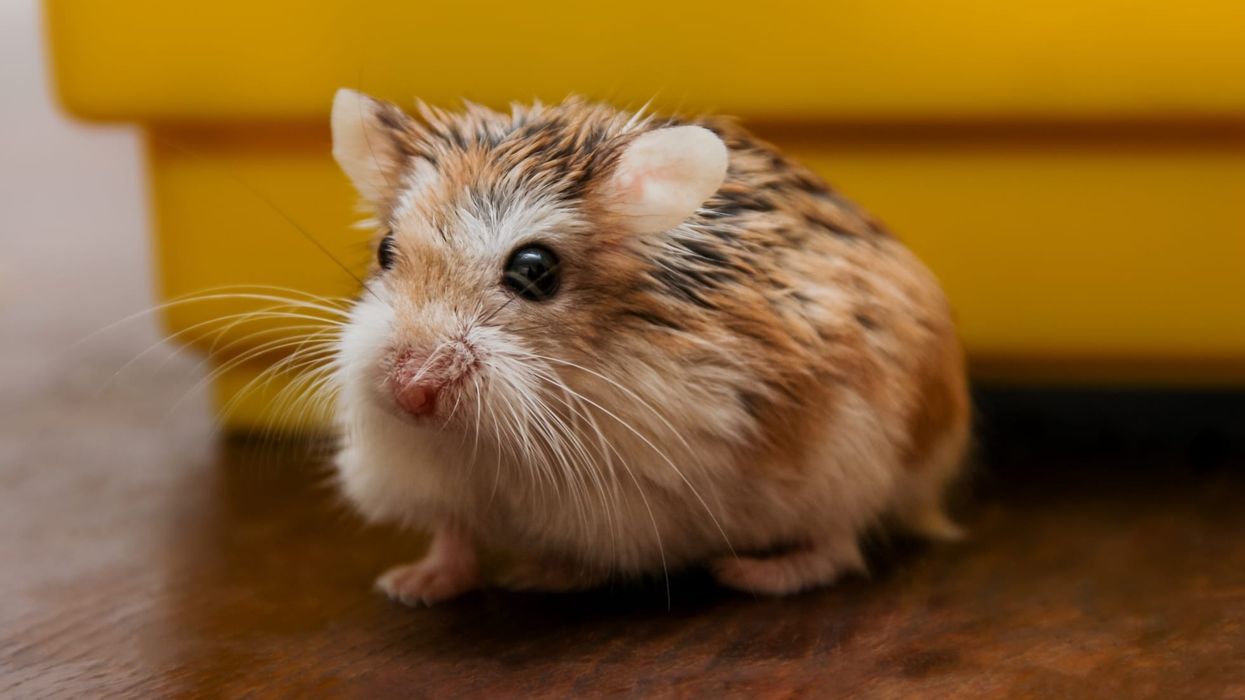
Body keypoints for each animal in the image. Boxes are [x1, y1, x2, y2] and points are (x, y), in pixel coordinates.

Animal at [328, 88, 970, 605]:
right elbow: (452, 534)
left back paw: (747, 573)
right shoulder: (437, 479)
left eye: (534, 270)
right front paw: (408, 586)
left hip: (854, 462)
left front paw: (534, 574)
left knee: (839, 546)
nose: (411, 394)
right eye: (386, 250)